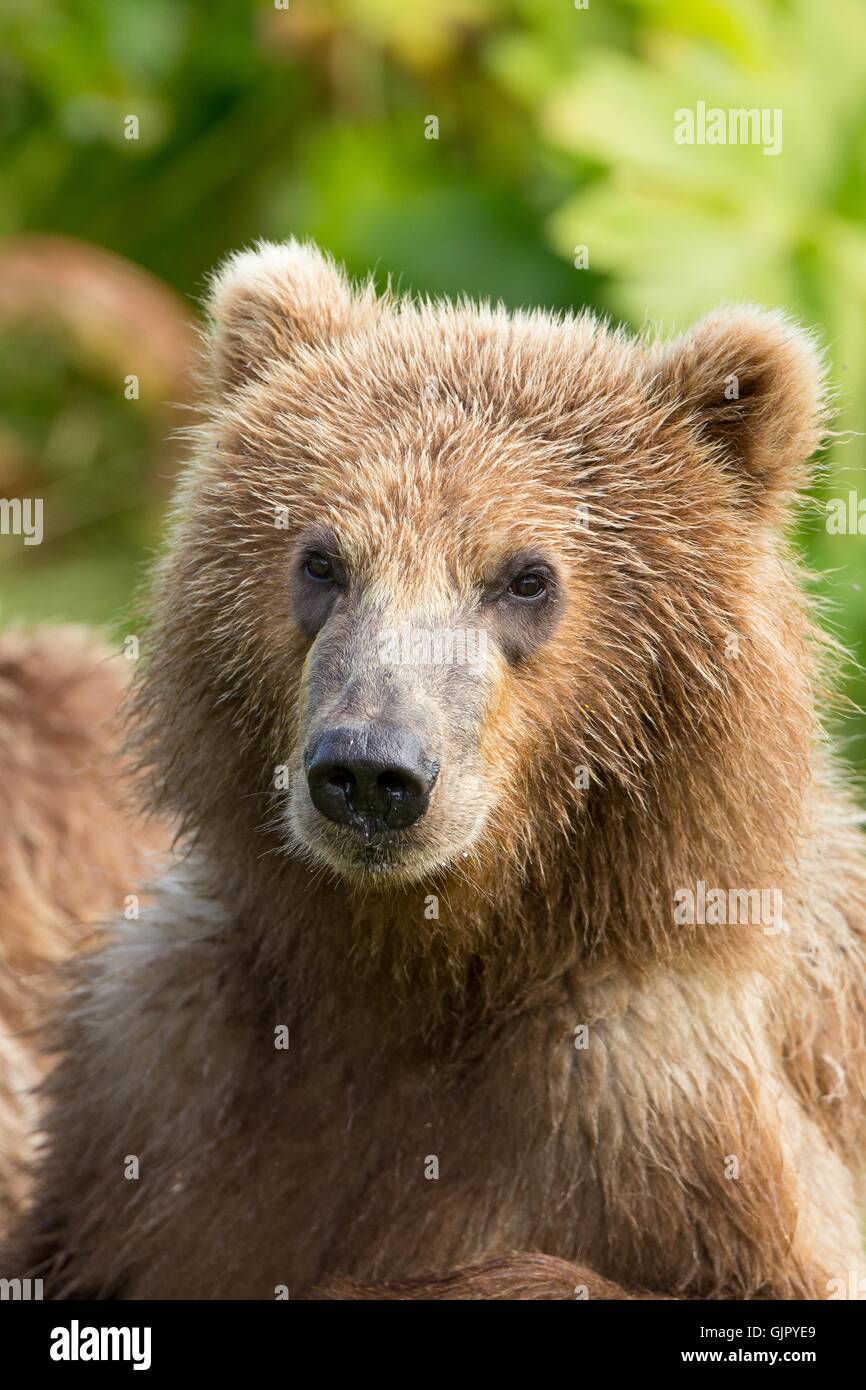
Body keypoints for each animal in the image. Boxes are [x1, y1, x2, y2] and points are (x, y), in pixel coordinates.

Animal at [1, 244, 866, 1295]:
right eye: (322, 560)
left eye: (527, 576)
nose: (373, 771)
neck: (422, 966)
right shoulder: (158, 1083)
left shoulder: (658, 1104)